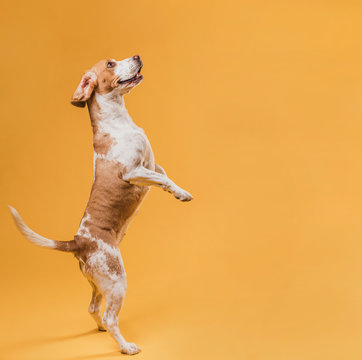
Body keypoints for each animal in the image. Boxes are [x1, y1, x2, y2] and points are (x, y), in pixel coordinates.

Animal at [8, 54, 194, 356]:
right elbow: (162, 178)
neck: (120, 122)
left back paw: (102, 330)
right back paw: (126, 346)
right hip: (117, 281)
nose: (137, 56)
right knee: (109, 316)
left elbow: (165, 175)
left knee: (94, 309)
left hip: (99, 283)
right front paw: (181, 193)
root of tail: (78, 242)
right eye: (110, 63)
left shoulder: (153, 164)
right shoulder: (134, 172)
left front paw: (177, 191)